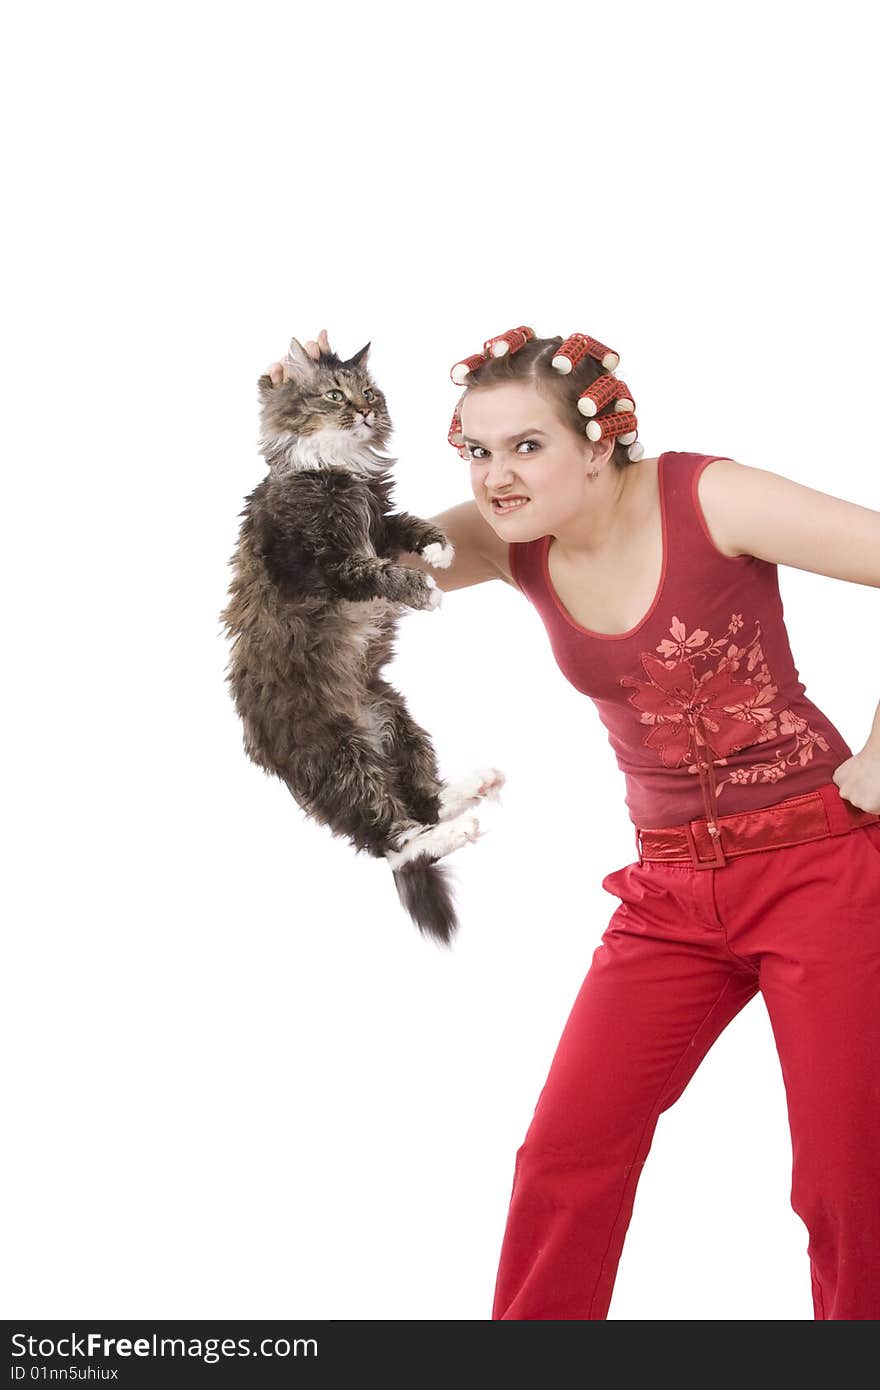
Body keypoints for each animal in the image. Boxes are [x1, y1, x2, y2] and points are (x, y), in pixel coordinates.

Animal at [219, 330, 503, 950]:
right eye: (334, 395)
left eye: (370, 392)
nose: (367, 411)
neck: (338, 468)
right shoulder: (322, 563)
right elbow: (377, 572)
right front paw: (425, 591)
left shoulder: (380, 520)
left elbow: (408, 525)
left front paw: (439, 550)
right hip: (342, 759)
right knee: (396, 843)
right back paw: (459, 828)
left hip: (398, 721)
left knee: (423, 803)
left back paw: (473, 789)